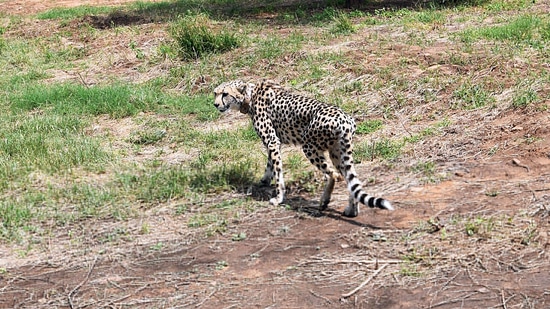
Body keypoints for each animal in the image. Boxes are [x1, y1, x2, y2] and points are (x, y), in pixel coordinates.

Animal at [213, 78, 394, 215]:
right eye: (215, 93)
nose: (215, 104)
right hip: (337, 152)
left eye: (225, 94)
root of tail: (346, 120)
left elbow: (278, 172)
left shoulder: (272, 140)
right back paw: (351, 210)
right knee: (351, 179)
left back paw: (324, 201)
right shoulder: (275, 142)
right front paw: (264, 179)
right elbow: (270, 163)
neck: (249, 95)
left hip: (309, 146)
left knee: (334, 175)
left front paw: (278, 198)